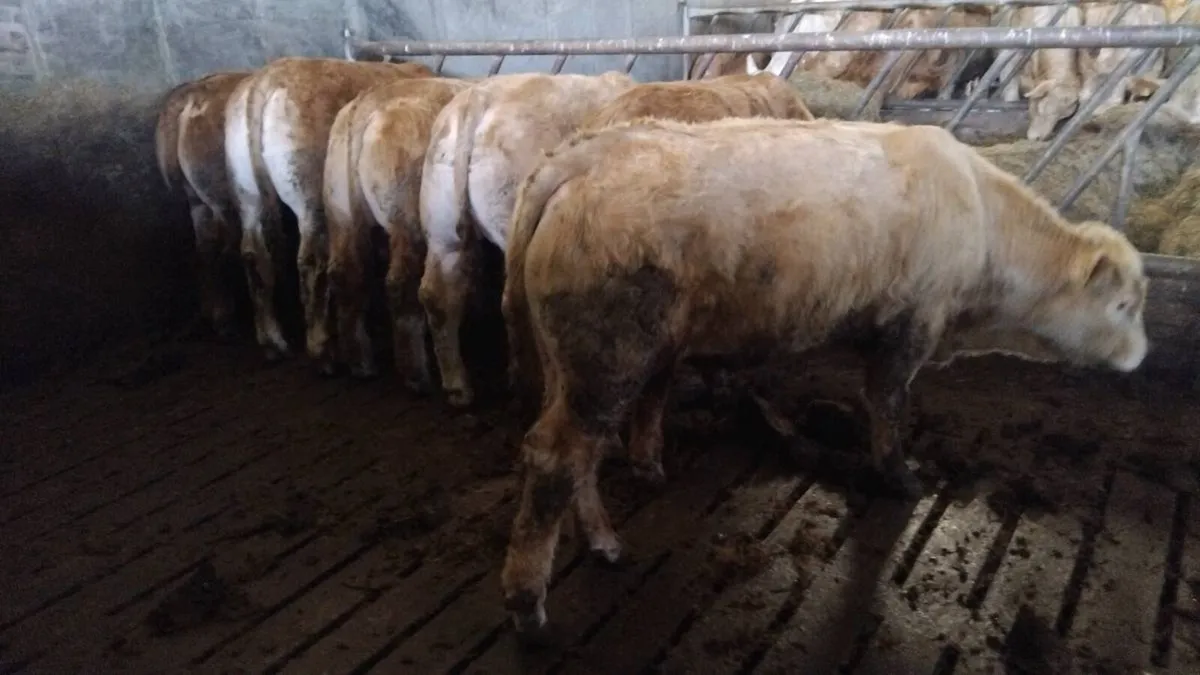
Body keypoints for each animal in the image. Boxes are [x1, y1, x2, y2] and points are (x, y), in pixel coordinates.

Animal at [155, 70, 254, 340]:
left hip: (198, 201)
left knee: (205, 251)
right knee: (227, 252)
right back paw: (227, 321)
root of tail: (194, 92)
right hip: (225, 202)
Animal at [224, 56, 434, 368]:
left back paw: (273, 341)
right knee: (311, 260)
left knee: (253, 253)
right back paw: (323, 350)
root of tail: (265, 79)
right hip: (309, 193)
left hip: (246, 190)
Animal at [323, 77, 475, 388]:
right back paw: (417, 374)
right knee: (403, 285)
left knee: (345, 274)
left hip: (341, 207)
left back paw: (361, 363)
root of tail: (365, 105)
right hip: (406, 217)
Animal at [499, 116, 1149, 634]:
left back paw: (606, 538)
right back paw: (528, 603)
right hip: (607, 354)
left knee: (580, 453)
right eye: (1122, 305)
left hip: (575, 360)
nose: (1141, 357)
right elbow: (887, 404)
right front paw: (900, 476)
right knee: (556, 457)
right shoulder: (912, 324)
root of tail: (581, 156)